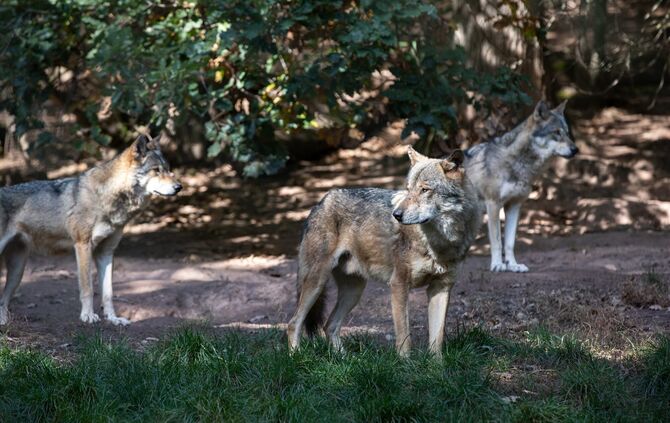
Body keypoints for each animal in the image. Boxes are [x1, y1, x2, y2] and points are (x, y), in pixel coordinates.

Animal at [0, 135, 181, 326]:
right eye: (156, 170)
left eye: (168, 169)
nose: (179, 187)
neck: (106, 197)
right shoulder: (82, 245)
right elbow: (87, 288)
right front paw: (87, 316)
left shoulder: (106, 252)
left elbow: (108, 293)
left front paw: (113, 319)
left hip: (17, 270)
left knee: (3, 299)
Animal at [287, 148, 481, 357]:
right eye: (408, 189)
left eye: (425, 190)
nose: (396, 215)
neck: (440, 242)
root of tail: (321, 202)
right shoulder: (398, 284)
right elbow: (404, 339)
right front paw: (405, 364)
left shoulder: (441, 288)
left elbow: (436, 342)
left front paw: (437, 365)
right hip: (317, 282)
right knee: (293, 323)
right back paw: (296, 358)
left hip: (354, 291)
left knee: (329, 325)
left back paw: (347, 360)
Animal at [464, 100, 578, 273]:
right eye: (556, 132)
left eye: (566, 132)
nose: (575, 149)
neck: (519, 163)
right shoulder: (493, 205)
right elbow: (497, 241)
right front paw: (497, 264)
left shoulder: (514, 205)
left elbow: (510, 243)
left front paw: (513, 265)